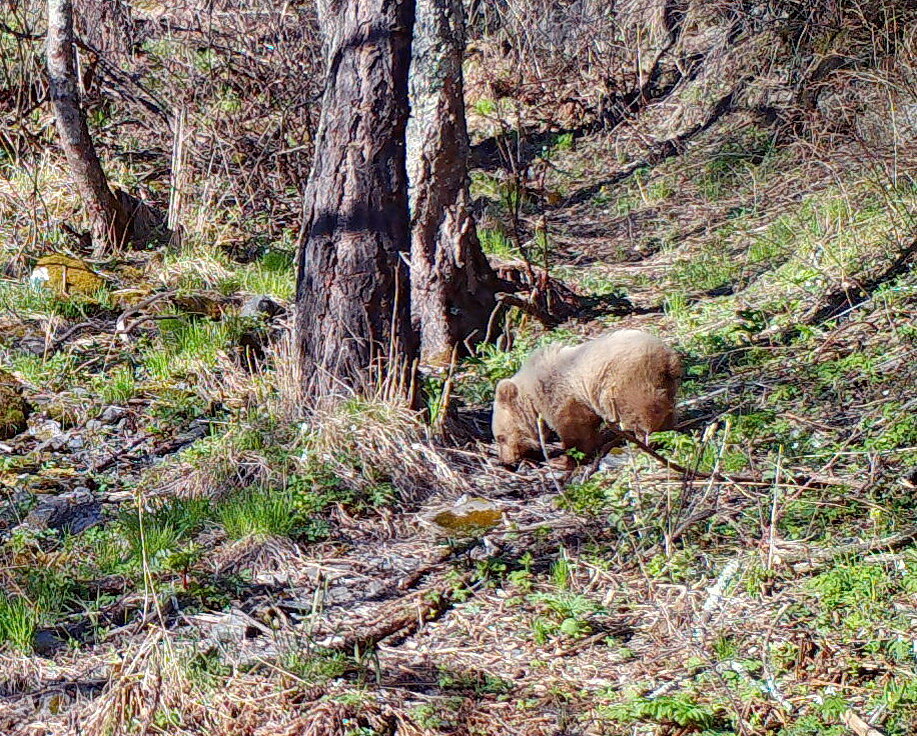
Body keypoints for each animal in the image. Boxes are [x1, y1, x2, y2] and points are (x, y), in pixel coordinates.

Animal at [494, 330, 680, 462]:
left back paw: (646, 440)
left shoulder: (561, 393)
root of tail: (669, 356)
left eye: (500, 438)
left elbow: (574, 426)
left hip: (629, 379)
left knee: (643, 407)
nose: (506, 461)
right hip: (666, 383)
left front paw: (567, 457)